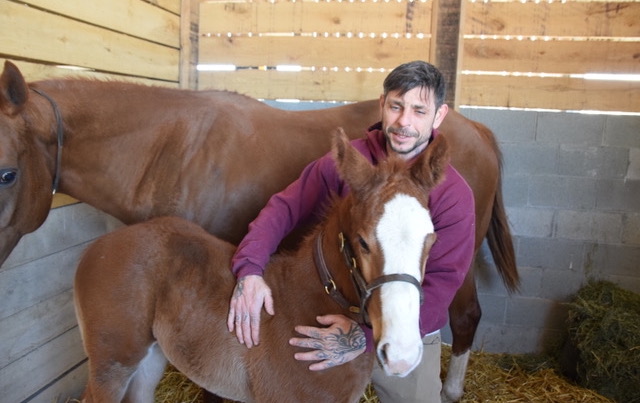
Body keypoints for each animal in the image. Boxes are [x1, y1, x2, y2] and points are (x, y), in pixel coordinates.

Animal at [74, 131, 444, 402]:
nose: (402, 354)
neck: (306, 308)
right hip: (112, 365)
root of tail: (101, 246)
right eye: (364, 242)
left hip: (149, 360)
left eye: (431, 240)